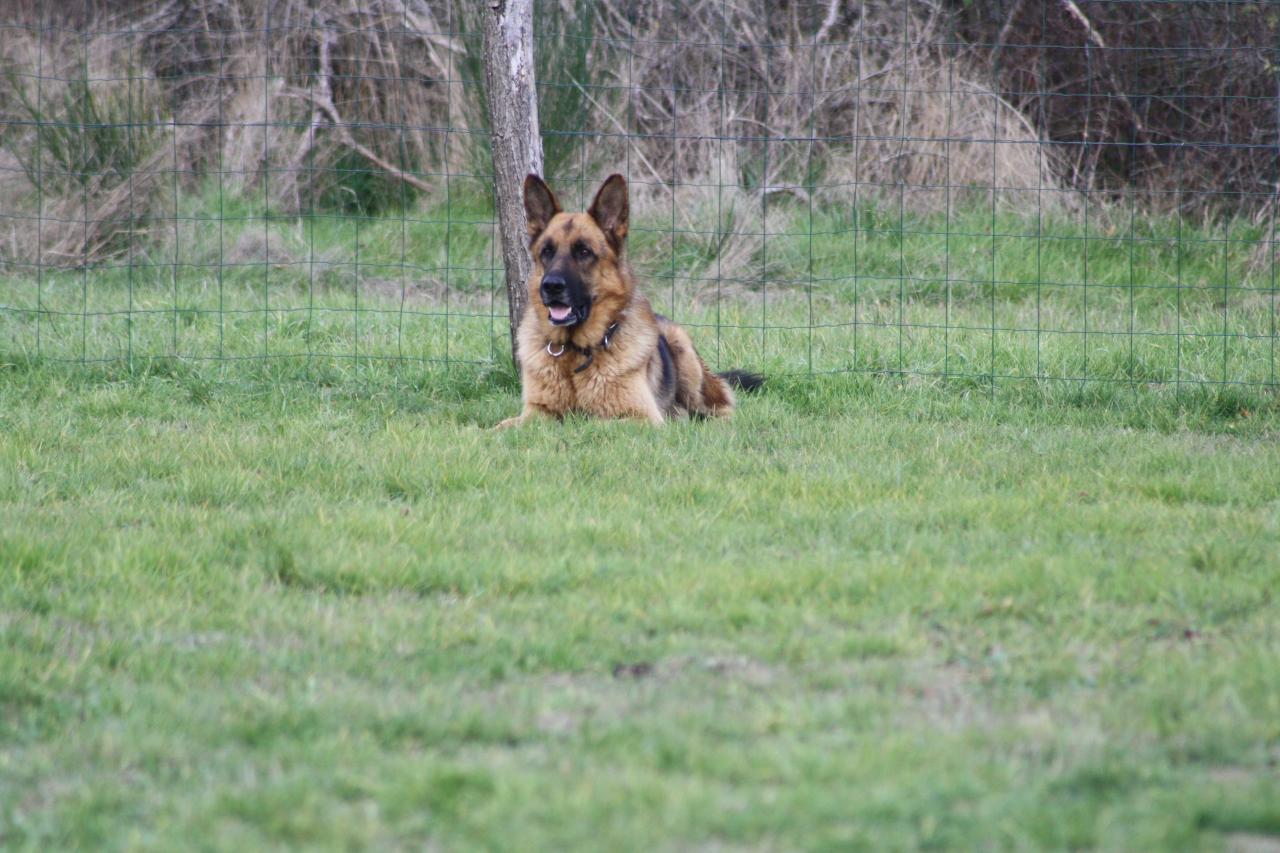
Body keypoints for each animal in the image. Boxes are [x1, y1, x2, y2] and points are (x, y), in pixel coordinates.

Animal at [496, 171, 757, 425]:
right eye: (547, 251)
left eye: (584, 252)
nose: (550, 286)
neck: (577, 352)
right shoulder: (536, 412)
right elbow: (501, 426)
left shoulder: (642, 417)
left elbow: (590, 422)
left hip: (687, 359)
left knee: (720, 408)